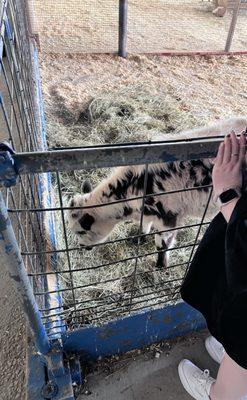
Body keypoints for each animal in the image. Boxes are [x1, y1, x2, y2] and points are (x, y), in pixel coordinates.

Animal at [67, 118, 247, 268]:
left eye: (81, 231)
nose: (82, 247)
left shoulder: (168, 217)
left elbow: (162, 244)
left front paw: (161, 264)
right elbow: (144, 226)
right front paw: (138, 239)